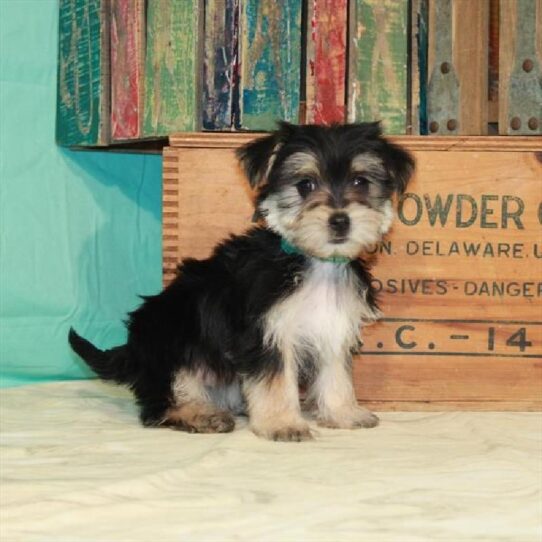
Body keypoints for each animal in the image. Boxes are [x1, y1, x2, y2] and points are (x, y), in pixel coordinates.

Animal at [69, 122, 416, 442]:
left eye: (360, 181)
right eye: (305, 184)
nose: (340, 220)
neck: (311, 260)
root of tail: (133, 350)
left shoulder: (333, 325)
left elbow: (336, 375)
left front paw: (343, 413)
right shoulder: (265, 332)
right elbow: (276, 380)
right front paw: (283, 424)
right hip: (172, 341)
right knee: (160, 404)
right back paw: (201, 415)